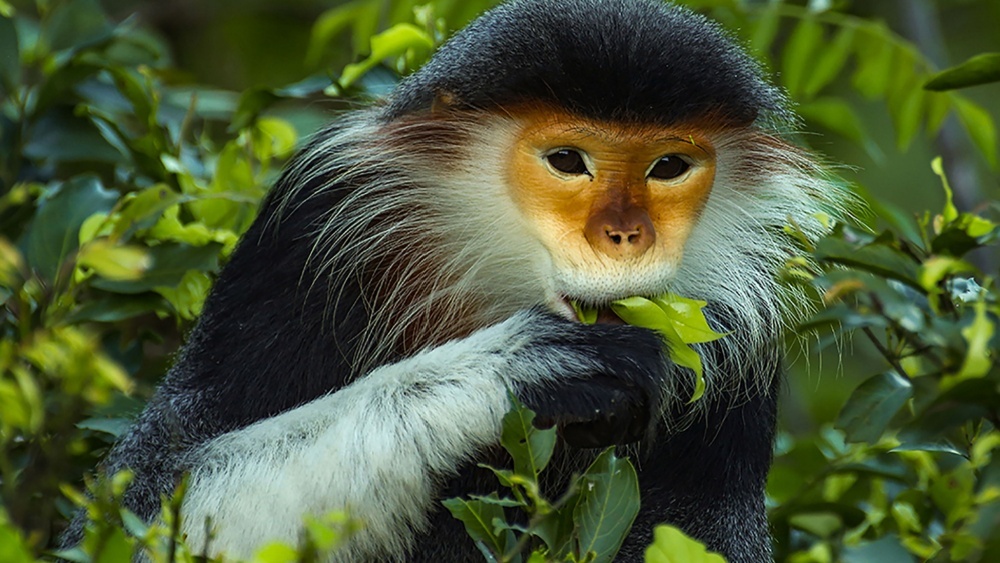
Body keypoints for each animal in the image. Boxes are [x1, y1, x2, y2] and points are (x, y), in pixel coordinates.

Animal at [65, 0, 845, 561]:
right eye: (568, 161)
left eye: (668, 168)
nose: (625, 235)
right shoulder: (305, 232)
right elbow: (144, 497)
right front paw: (527, 363)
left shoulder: (738, 337)